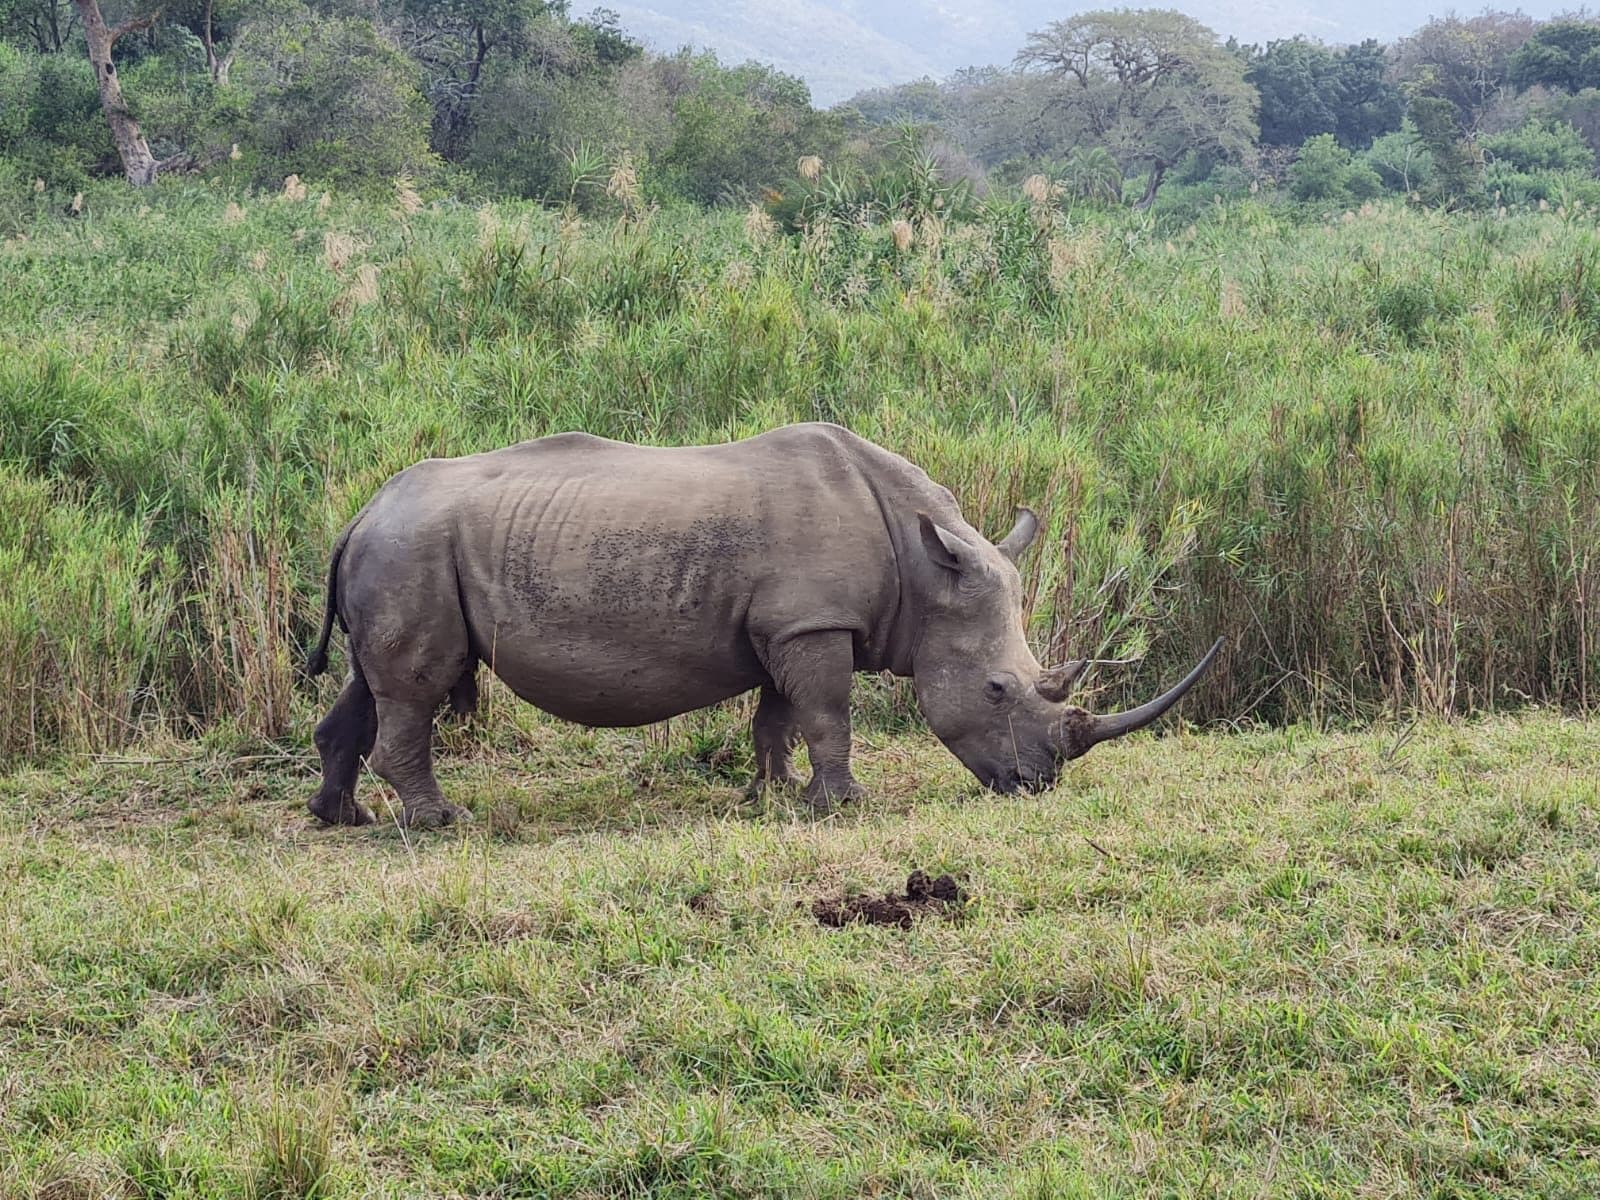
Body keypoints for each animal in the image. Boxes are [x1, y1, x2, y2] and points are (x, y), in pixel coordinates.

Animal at [305, 422, 1220, 827]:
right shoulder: (813, 624)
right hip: (412, 549)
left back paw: (341, 818)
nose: (1037, 785)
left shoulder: (791, 626)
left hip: (397, 553)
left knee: (371, 682)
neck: (924, 565)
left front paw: (773, 796)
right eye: (998, 689)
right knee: (414, 687)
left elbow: (780, 717)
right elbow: (829, 714)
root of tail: (360, 514)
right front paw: (844, 805)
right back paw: (438, 822)